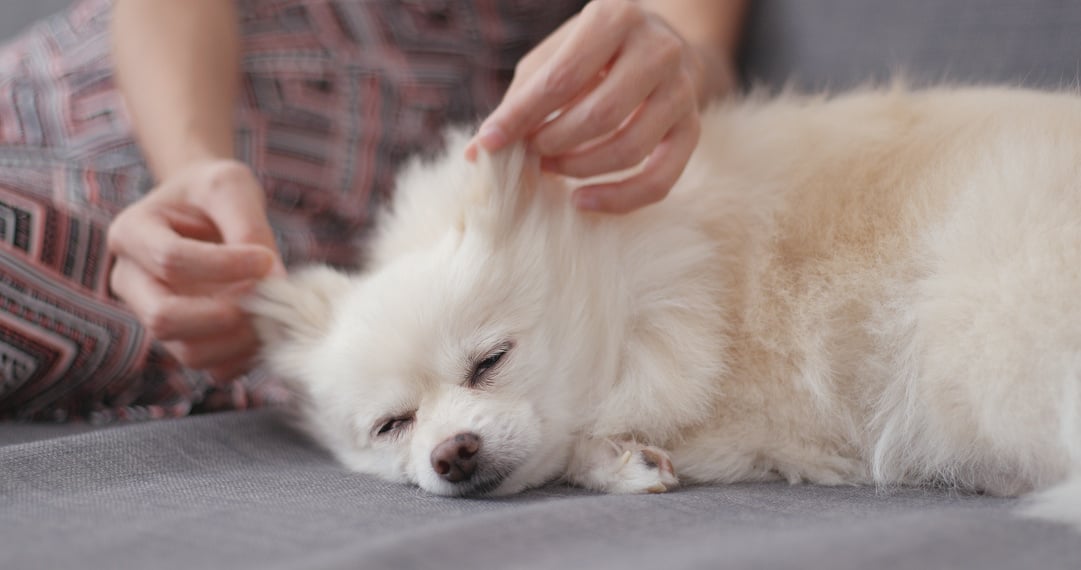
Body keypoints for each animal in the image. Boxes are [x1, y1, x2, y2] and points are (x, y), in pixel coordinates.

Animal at [245, 83, 1081, 521]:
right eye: (392, 426)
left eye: (490, 362)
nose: (452, 453)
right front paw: (625, 460)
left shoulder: (760, 415)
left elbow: (584, 442)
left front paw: (617, 458)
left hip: (976, 340)